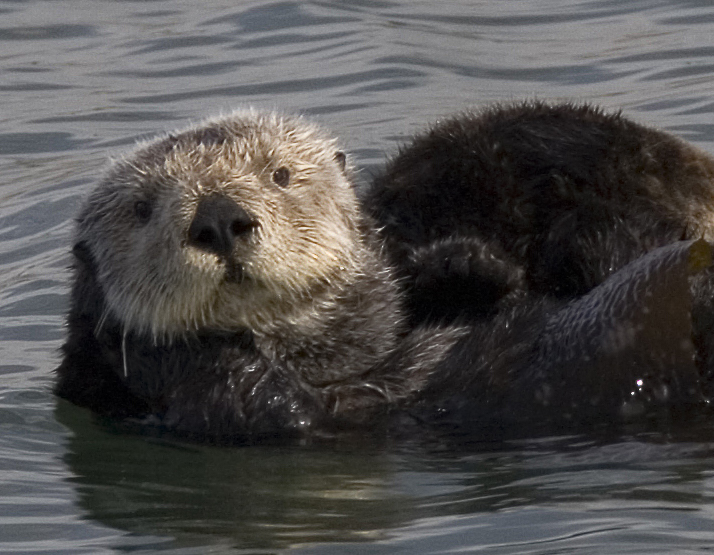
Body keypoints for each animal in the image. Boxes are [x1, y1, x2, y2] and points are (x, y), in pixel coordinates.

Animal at [54, 106, 712, 440]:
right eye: (142, 209)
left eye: (279, 175)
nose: (218, 218)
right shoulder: (224, 411)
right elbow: (262, 401)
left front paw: (464, 264)